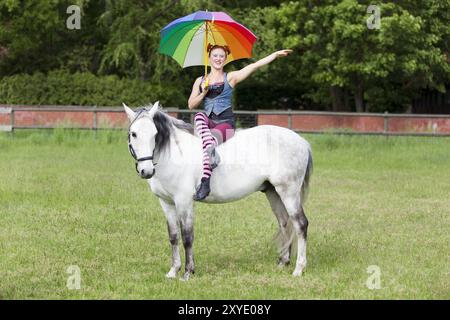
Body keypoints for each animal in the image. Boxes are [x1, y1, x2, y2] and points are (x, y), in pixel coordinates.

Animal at [123, 102, 312, 280]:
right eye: (133, 134)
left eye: (155, 134)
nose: (146, 171)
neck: (174, 154)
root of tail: (302, 142)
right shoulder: (166, 202)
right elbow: (174, 236)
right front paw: (173, 271)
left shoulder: (184, 202)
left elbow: (187, 236)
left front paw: (188, 272)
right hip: (273, 193)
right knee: (284, 223)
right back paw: (283, 262)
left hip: (289, 193)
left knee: (300, 224)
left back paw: (299, 269)